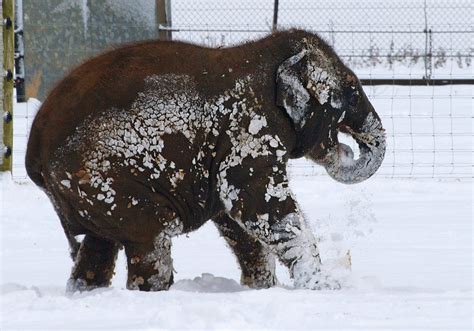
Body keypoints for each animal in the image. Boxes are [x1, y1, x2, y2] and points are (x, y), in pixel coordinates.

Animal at [25, 29, 386, 292]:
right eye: (352, 92)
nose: (346, 150)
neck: (267, 51)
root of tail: (35, 148)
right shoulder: (249, 129)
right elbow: (258, 204)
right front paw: (324, 286)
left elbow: (235, 220)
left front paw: (262, 288)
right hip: (101, 182)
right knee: (152, 236)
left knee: (98, 247)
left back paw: (85, 292)